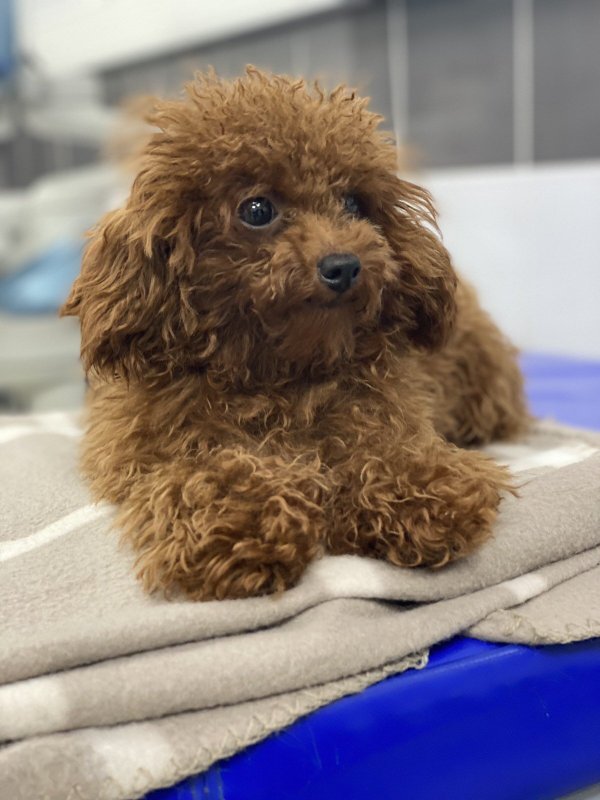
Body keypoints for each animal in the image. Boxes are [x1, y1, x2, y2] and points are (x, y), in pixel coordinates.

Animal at [61, 68, 529, 601]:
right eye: (257, 210)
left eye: (353, 202)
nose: (343, 266)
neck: (279, 370)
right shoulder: (142, 450)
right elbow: (200, 472)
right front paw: (243, 530)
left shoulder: (382, 411)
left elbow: (385, 450)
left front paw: (422, 495)